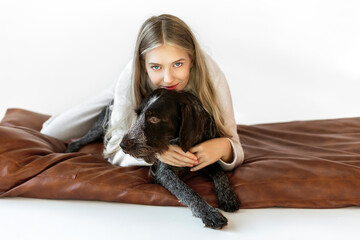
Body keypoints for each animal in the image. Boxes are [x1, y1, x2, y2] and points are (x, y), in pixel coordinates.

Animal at [65, 88, 239, 229]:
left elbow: (221, 174)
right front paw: (209, 213)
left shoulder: (206, 158)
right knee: (80, 140)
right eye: (137, 115)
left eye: (154, 119)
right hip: (101, 128)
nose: (123, 145)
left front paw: (228, 197)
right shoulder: (164, 173)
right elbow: (188, 192)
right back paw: (69, 149)